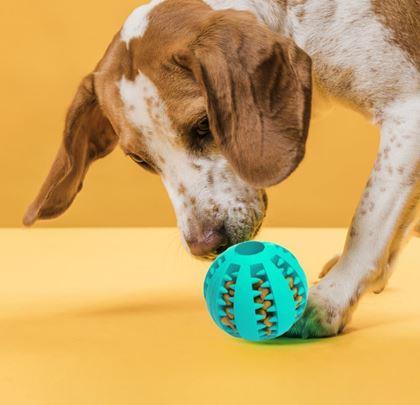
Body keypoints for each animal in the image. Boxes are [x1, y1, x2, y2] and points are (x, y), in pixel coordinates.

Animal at [23, 0, 420, 338]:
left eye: (204, 125)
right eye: (140, 159)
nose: (204, 245)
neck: (296, 18)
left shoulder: (407, 111)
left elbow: (367, 223)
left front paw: (330, 299)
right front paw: (374, 277)